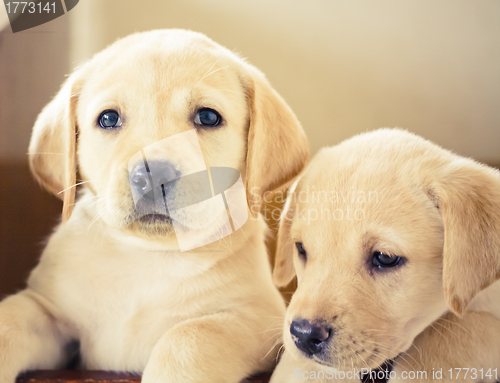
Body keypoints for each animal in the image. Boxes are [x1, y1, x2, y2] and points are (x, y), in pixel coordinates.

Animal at [0, 30, 308, 383]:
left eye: (207, 117)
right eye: (108, 118)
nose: (152, 173)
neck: (149, 257)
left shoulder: (257, 317)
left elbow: (188, 336)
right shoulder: (45, 308)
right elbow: (8, 320)